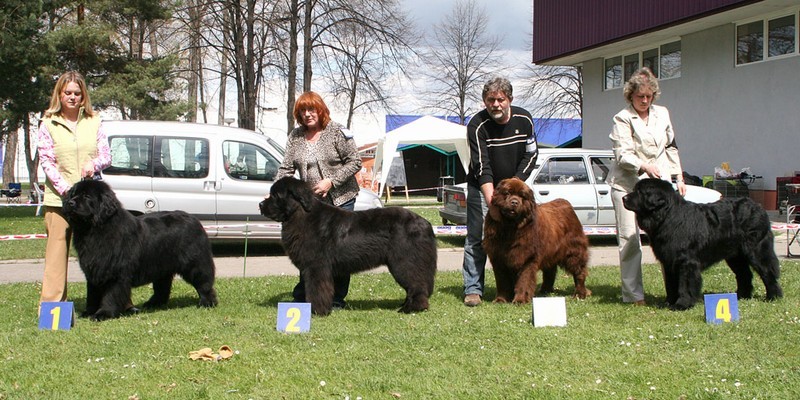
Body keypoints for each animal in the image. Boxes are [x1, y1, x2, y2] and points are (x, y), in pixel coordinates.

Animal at [63, 180, 217, 320]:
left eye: (87, 196)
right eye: (73, 194)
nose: (70, 203)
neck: (94, 230)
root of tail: (195, 219)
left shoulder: (115, 273)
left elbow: (110, 295)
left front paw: (103, 314)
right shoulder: (94, 272)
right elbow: (92, 295)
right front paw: (88, 312)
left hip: (194, 264)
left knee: (204, 283)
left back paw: (207, 303)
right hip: (161, 266)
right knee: (162, 287)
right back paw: (153, 303)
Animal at [260, 177, 438, 316]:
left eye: (275, 195)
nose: (260, 205)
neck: (301, 213)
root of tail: (425, 223)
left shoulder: (316, 267)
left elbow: (317, 289)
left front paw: (317, 311)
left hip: (403, 262)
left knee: (416, 284)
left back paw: (412, 308)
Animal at [624, 180, 780, 310]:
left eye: (640, 192)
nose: (624, 198)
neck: (667, 217)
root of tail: (758, 207)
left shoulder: (686, 262)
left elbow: (684, 284)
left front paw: (682, 304)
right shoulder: (669, 261)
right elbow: (671, 283)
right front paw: (669, 302)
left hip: (757, 250)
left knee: (767, 272)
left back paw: (773, 297)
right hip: (735, 256)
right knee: (744, 274)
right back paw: (741, 296)